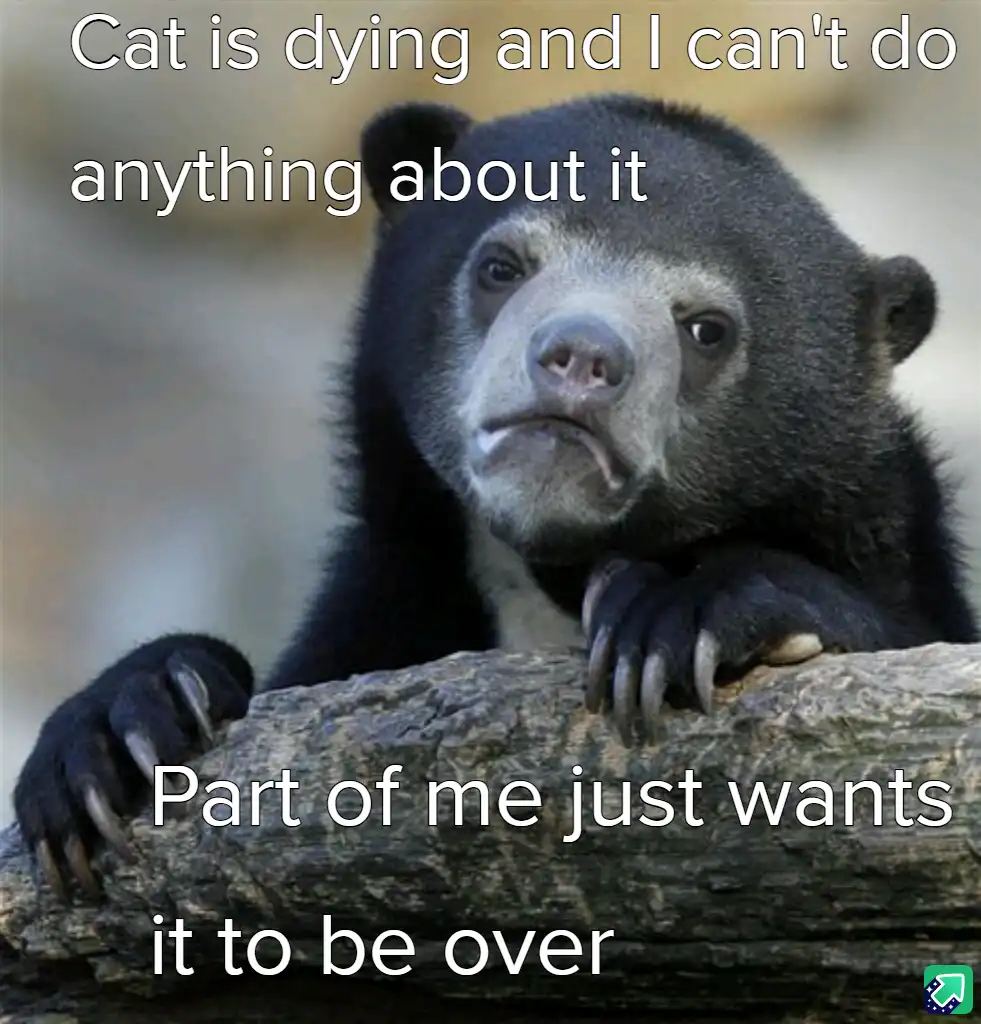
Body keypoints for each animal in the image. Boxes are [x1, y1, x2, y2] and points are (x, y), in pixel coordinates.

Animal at [12, 94, 979, 899]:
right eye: (501, 265)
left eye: (706, 328)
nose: (581, 359)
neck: (547, 573)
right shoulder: (396, 592)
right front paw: (117, 733)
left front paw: (673, 613)